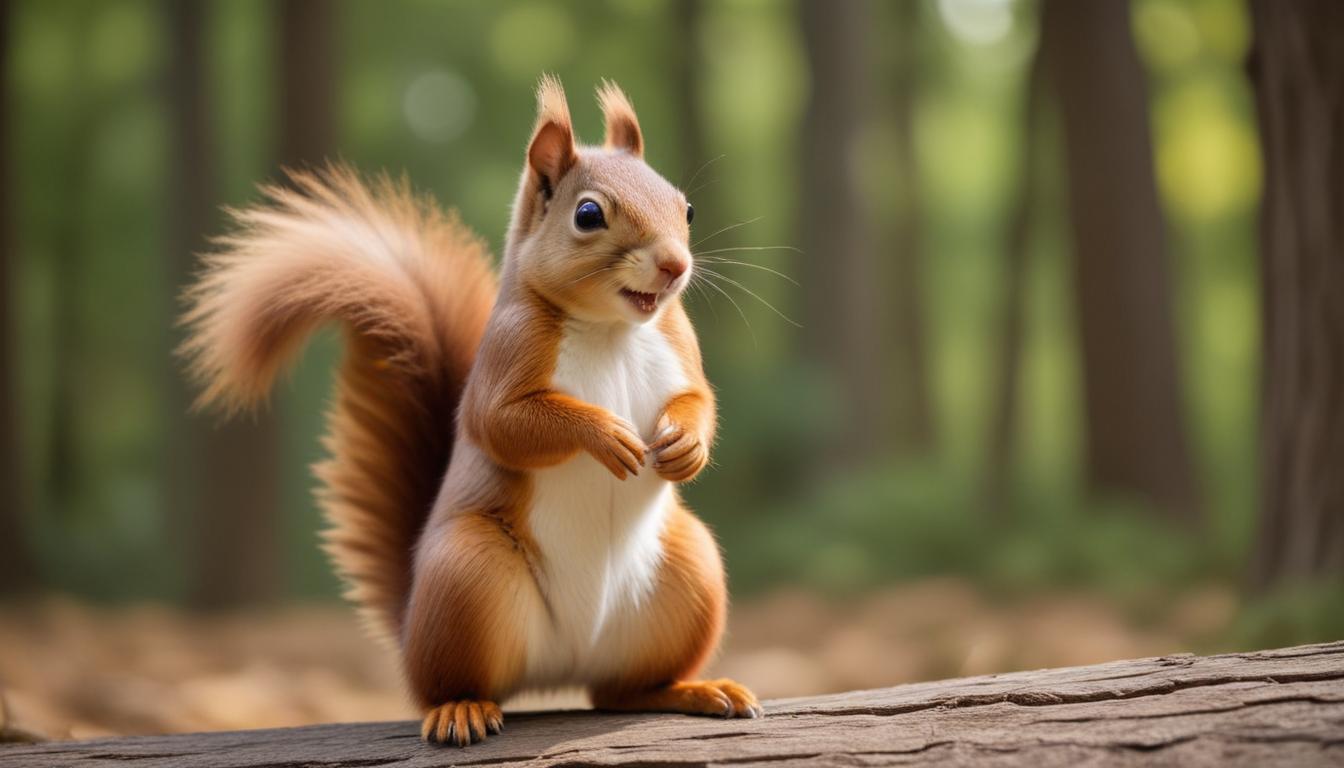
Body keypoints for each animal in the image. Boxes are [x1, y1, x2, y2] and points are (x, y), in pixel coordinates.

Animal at [180, 76, 761, 747]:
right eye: (588, 215)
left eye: (685, 208)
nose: (675, 266)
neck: (611, 329)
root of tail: (561, 664)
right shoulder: (507, 356)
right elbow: (506, 424)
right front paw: (605, 434)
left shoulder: (678, 345)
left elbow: (699, 400)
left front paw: (685, 444)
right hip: (468, 574)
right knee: (452, 682)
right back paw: (460, 709)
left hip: (690, 574)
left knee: (618, 691)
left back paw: (694, 690)